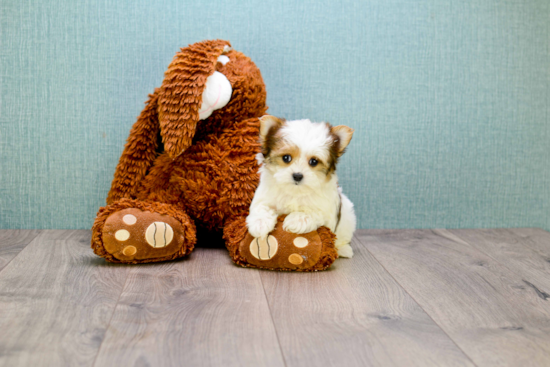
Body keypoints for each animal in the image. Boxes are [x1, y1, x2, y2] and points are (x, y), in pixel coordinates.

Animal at [248, 115, 360, 258]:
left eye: (314, 161)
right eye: (286, 158)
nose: (297, 175)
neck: (296, 191)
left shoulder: (327, 211)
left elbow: (314, 212)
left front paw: (297, 220)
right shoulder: (265, 196)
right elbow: (261, 207)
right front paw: (259, 223)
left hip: (347, 217)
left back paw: (343, 250)